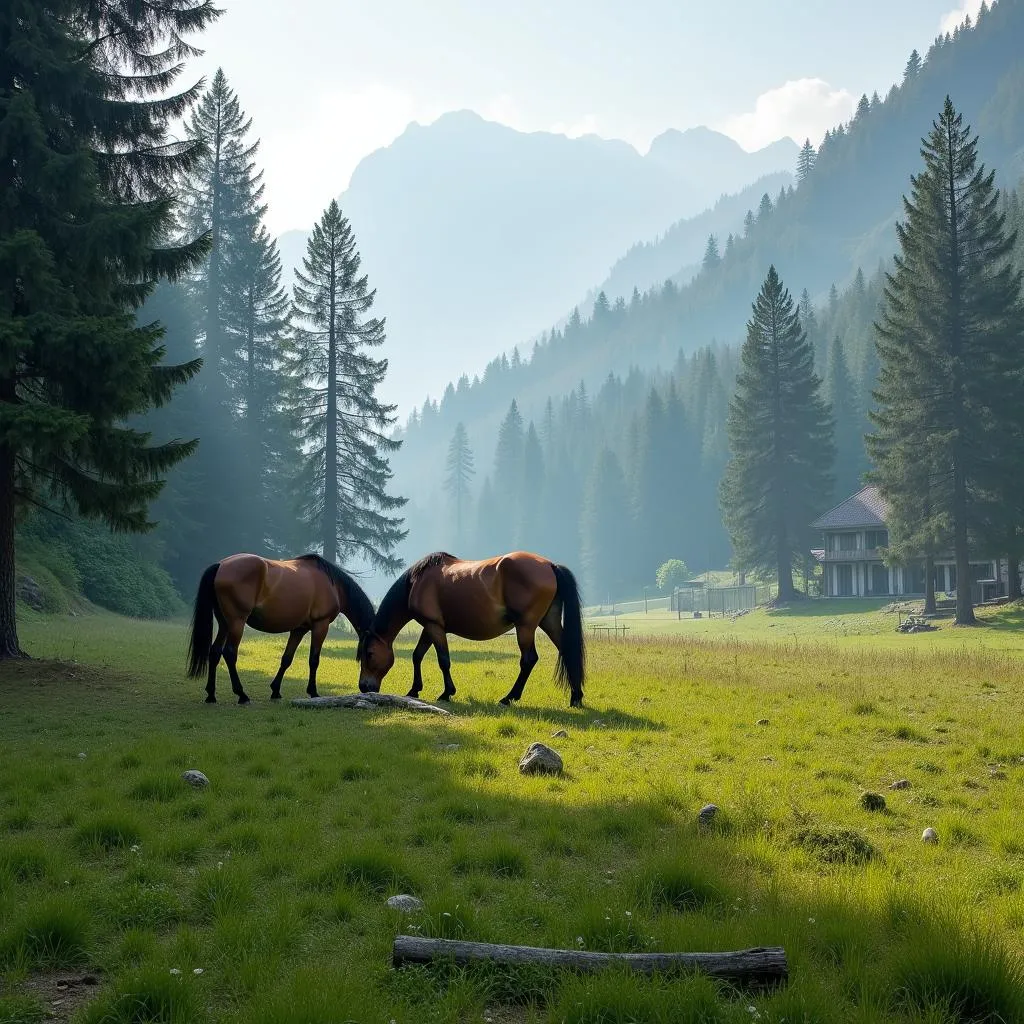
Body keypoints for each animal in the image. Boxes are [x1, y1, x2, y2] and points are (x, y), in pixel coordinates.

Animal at [186, 552, 374, 704]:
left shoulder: (299, 629)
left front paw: (275, 690)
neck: (333, 585)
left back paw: (211, 695)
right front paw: (313, 692)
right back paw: (242, 695)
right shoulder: (320, 625)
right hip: (236, 622)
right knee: (230, 653)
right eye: (368, 654)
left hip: (225, 623)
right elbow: (314, 660)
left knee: (215, 652)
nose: (366, 688)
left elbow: (286, 659)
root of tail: (221, 565)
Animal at [358, 557, 585, 708]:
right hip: (549, 622)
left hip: (526, 627)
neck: (416, 582)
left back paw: (509, 697)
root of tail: (550, 565)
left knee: (528, 660)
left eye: (369, 654)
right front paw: (414, 689)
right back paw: (576, 697)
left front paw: (447, 693)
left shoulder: (434, 627)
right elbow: (417, 655)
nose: (363, 687)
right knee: (568, 651)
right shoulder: (430, 627)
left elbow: (443, 660)